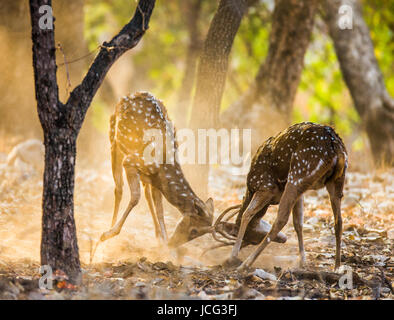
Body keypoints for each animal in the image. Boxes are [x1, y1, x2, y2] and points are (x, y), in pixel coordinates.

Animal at [99, 92, 215, 248]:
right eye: (194, 230)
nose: (174, 243)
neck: (165, 167)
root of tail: (129, 95)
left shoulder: (156, 178)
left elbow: (160, 209)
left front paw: (164, 243)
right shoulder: (131, 161)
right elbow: (135, 198)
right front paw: (108, 234)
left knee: (146, 193)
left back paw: (157, 235)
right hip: (114, 138)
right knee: (119, 188)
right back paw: (108, 230)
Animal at [222, 122, 348, 270]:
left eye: (251, 238)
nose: (282, 240)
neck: (250, 188)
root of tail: (335, 145)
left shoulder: (266, 186)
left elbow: (247, 213)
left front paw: (232, 256)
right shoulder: (300, 195)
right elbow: (298, 223)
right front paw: (303, 261)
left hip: (298, 174)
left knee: (281, 219)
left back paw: (246, 264)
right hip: (334, 180)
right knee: (339, 221)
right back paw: (337, 266)